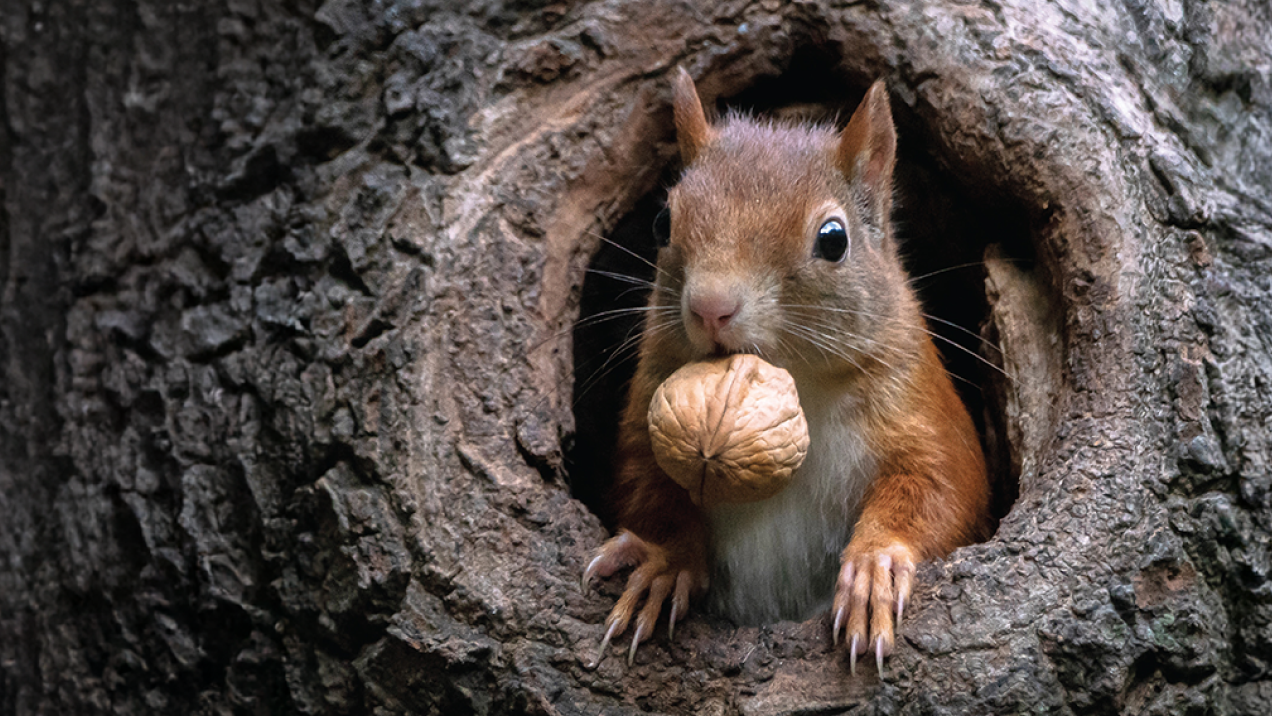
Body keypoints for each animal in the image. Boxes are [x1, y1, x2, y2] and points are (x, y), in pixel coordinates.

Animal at [583, 68, 991, 674]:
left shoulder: (919, 404)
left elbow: (943, 485)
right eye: (662, 221)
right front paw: (662, 562)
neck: (799, 382)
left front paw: (874, 567)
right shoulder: (648, 404)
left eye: (834, 239)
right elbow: (646, 487)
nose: (710, 306)